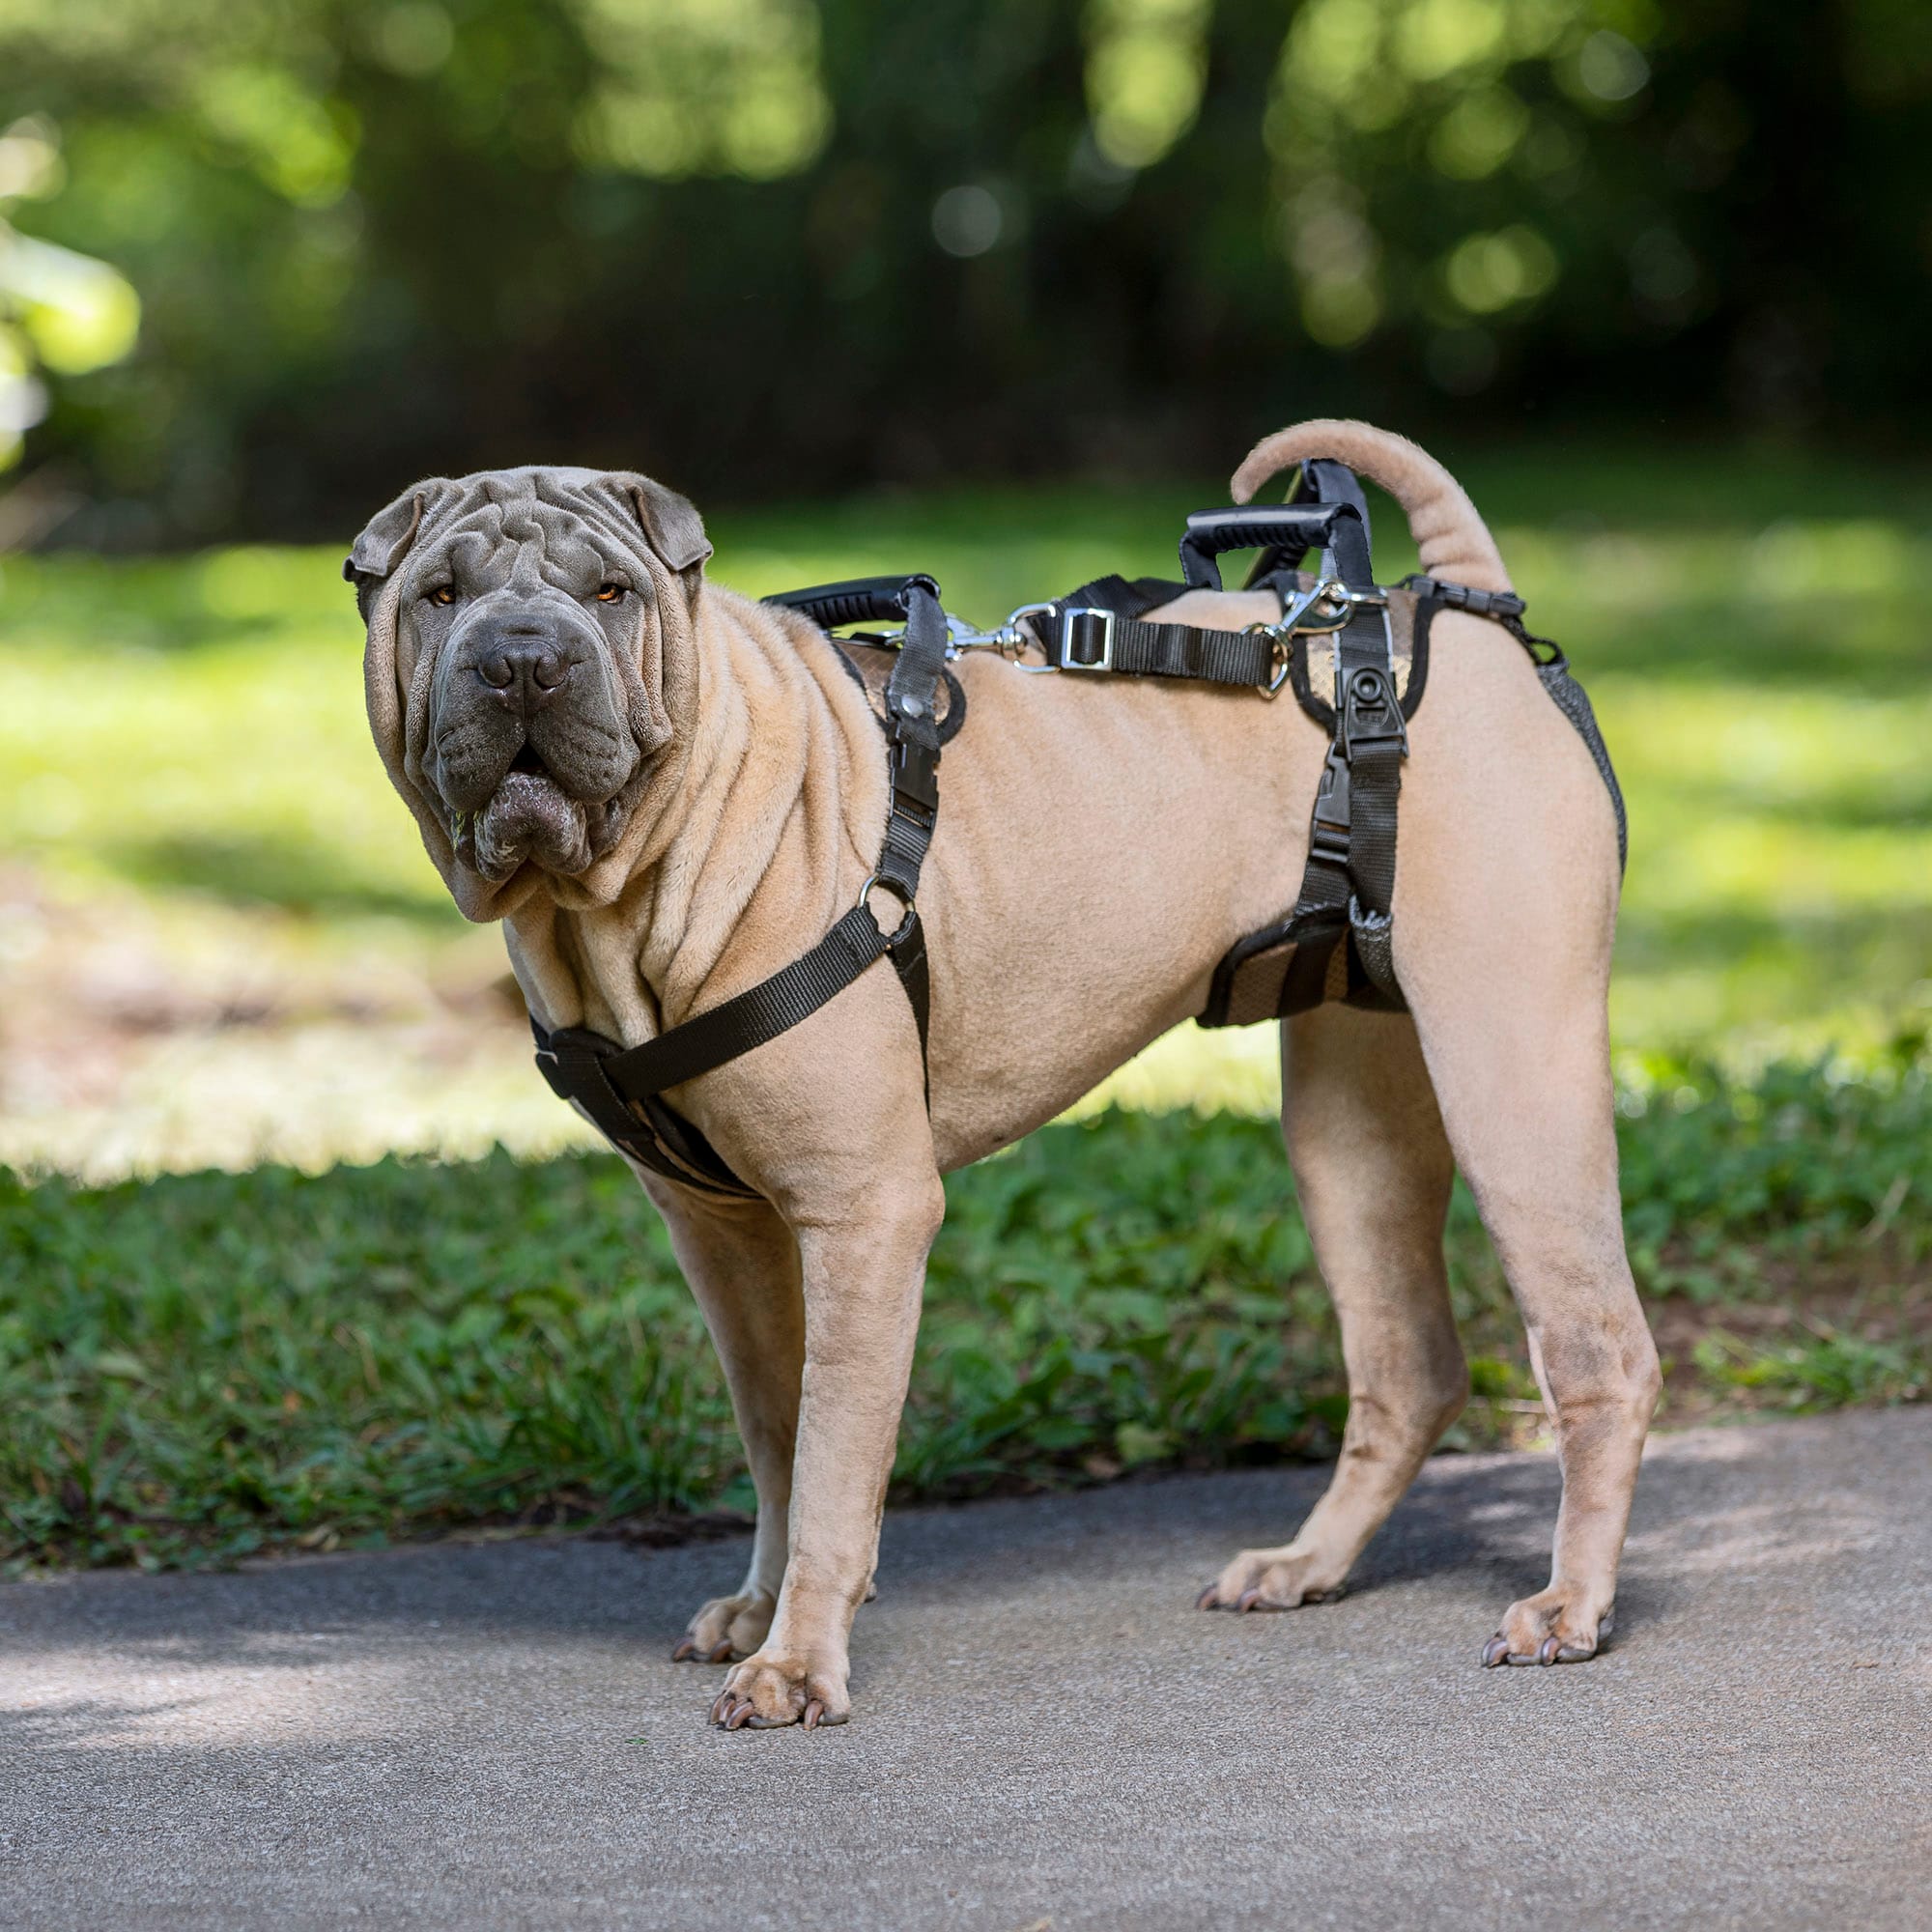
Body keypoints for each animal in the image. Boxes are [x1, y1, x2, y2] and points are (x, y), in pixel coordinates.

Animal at [352, 415, 1662, 1731]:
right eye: (439, 594)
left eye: (609, 594)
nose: (522, 661)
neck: (627, 884)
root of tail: (1451, 601)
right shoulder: (724, 1230)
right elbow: (777, 1427)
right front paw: (760, 1606)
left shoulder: (865, 1214)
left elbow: (833, 1453)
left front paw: (796, 1656)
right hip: (1349, 1124)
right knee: (1408, 1364)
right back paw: (1308, 1563)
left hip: (1509, 1067)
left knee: (1597, 1346)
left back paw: (1570, 1604)